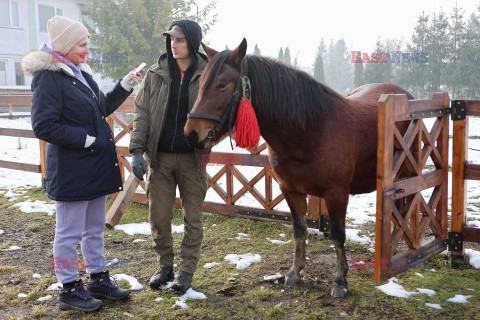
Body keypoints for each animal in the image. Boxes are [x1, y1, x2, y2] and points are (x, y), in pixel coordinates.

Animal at [184, 39, 412, 298]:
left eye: (222, 84)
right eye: (201, 83)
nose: (191, 134)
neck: (310, 131)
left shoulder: (337, 194)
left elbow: (338, 234)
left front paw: (340, 280)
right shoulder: (291, 190)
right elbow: (299, 230)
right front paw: (295, 272)